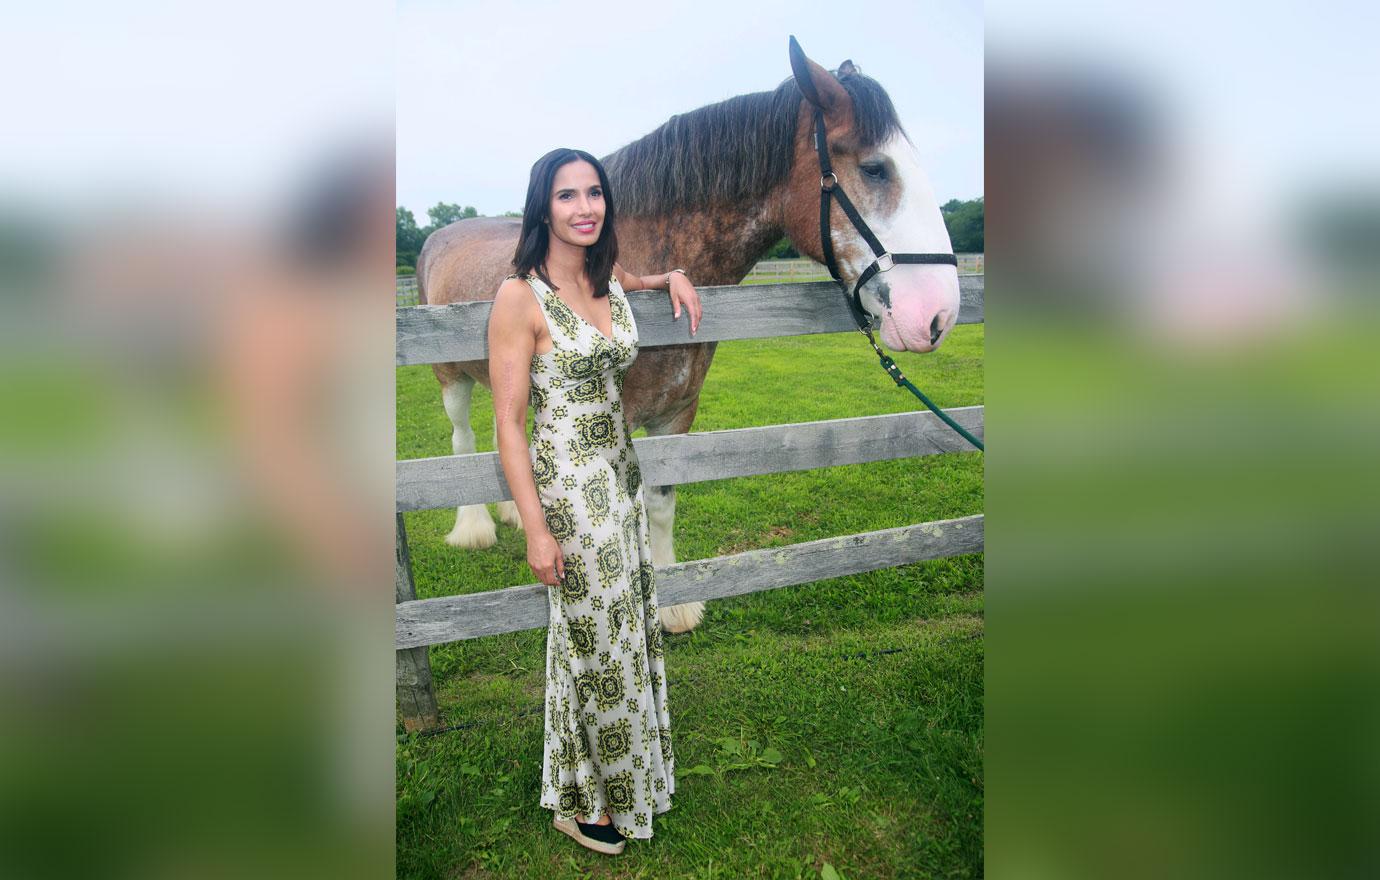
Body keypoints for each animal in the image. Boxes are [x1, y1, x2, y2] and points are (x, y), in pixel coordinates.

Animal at [416, 39, 960, 634]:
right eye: (874, 168)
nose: (939, 313)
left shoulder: (677, 416)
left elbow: (660, 501)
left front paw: (673, 604)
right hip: (450, 378)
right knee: (462, 438)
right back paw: (473, 527)